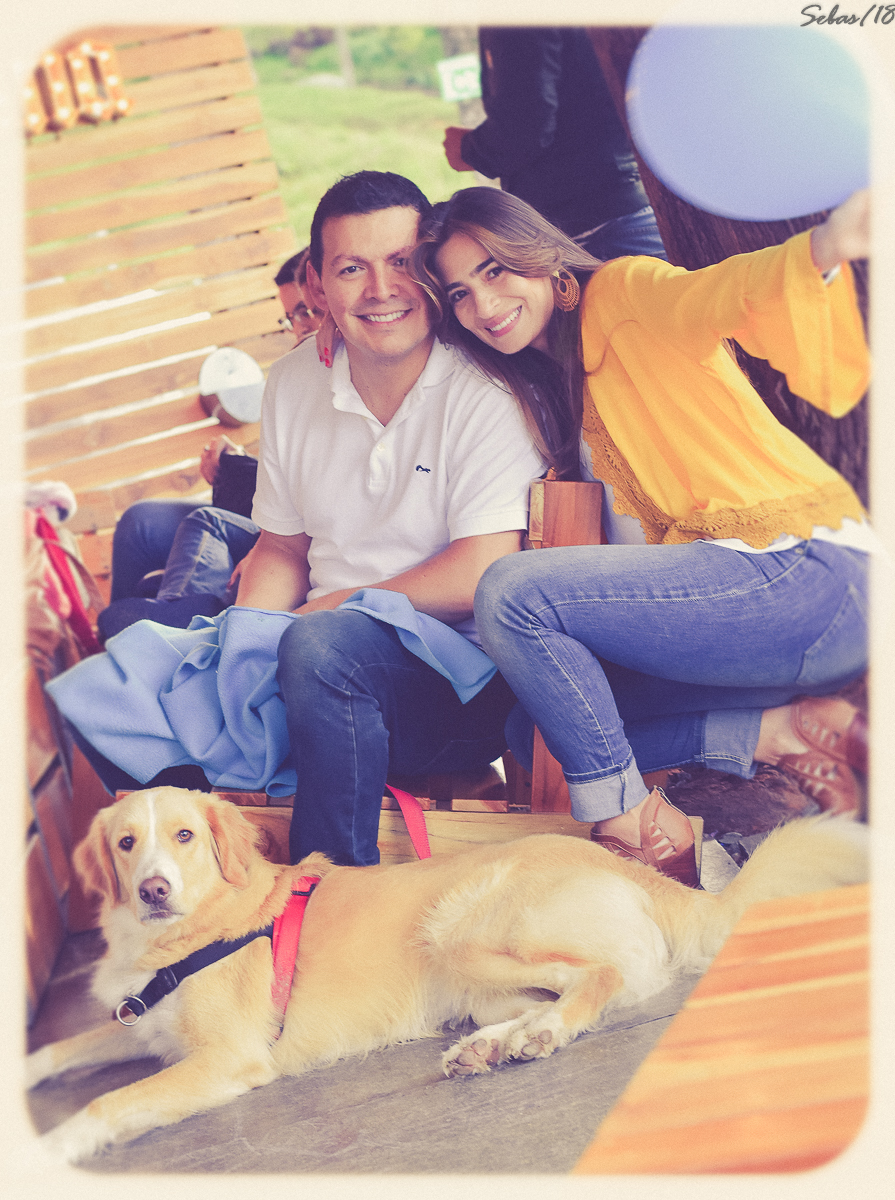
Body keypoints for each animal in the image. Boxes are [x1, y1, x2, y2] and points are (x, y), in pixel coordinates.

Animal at [27, 786, 867, 1163]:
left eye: (185, 838)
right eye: (126, 843)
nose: (152, 889)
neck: (181, 937)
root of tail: (632, 867)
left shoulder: (223, 1060)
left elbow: (108, 1102)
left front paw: (49, 1148)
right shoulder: (140, 1023)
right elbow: (60, 1050)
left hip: (462, 929)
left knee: (596, 981)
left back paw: (537, 1037)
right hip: (474, 976)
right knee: (560, 991)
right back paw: (489, 1047)